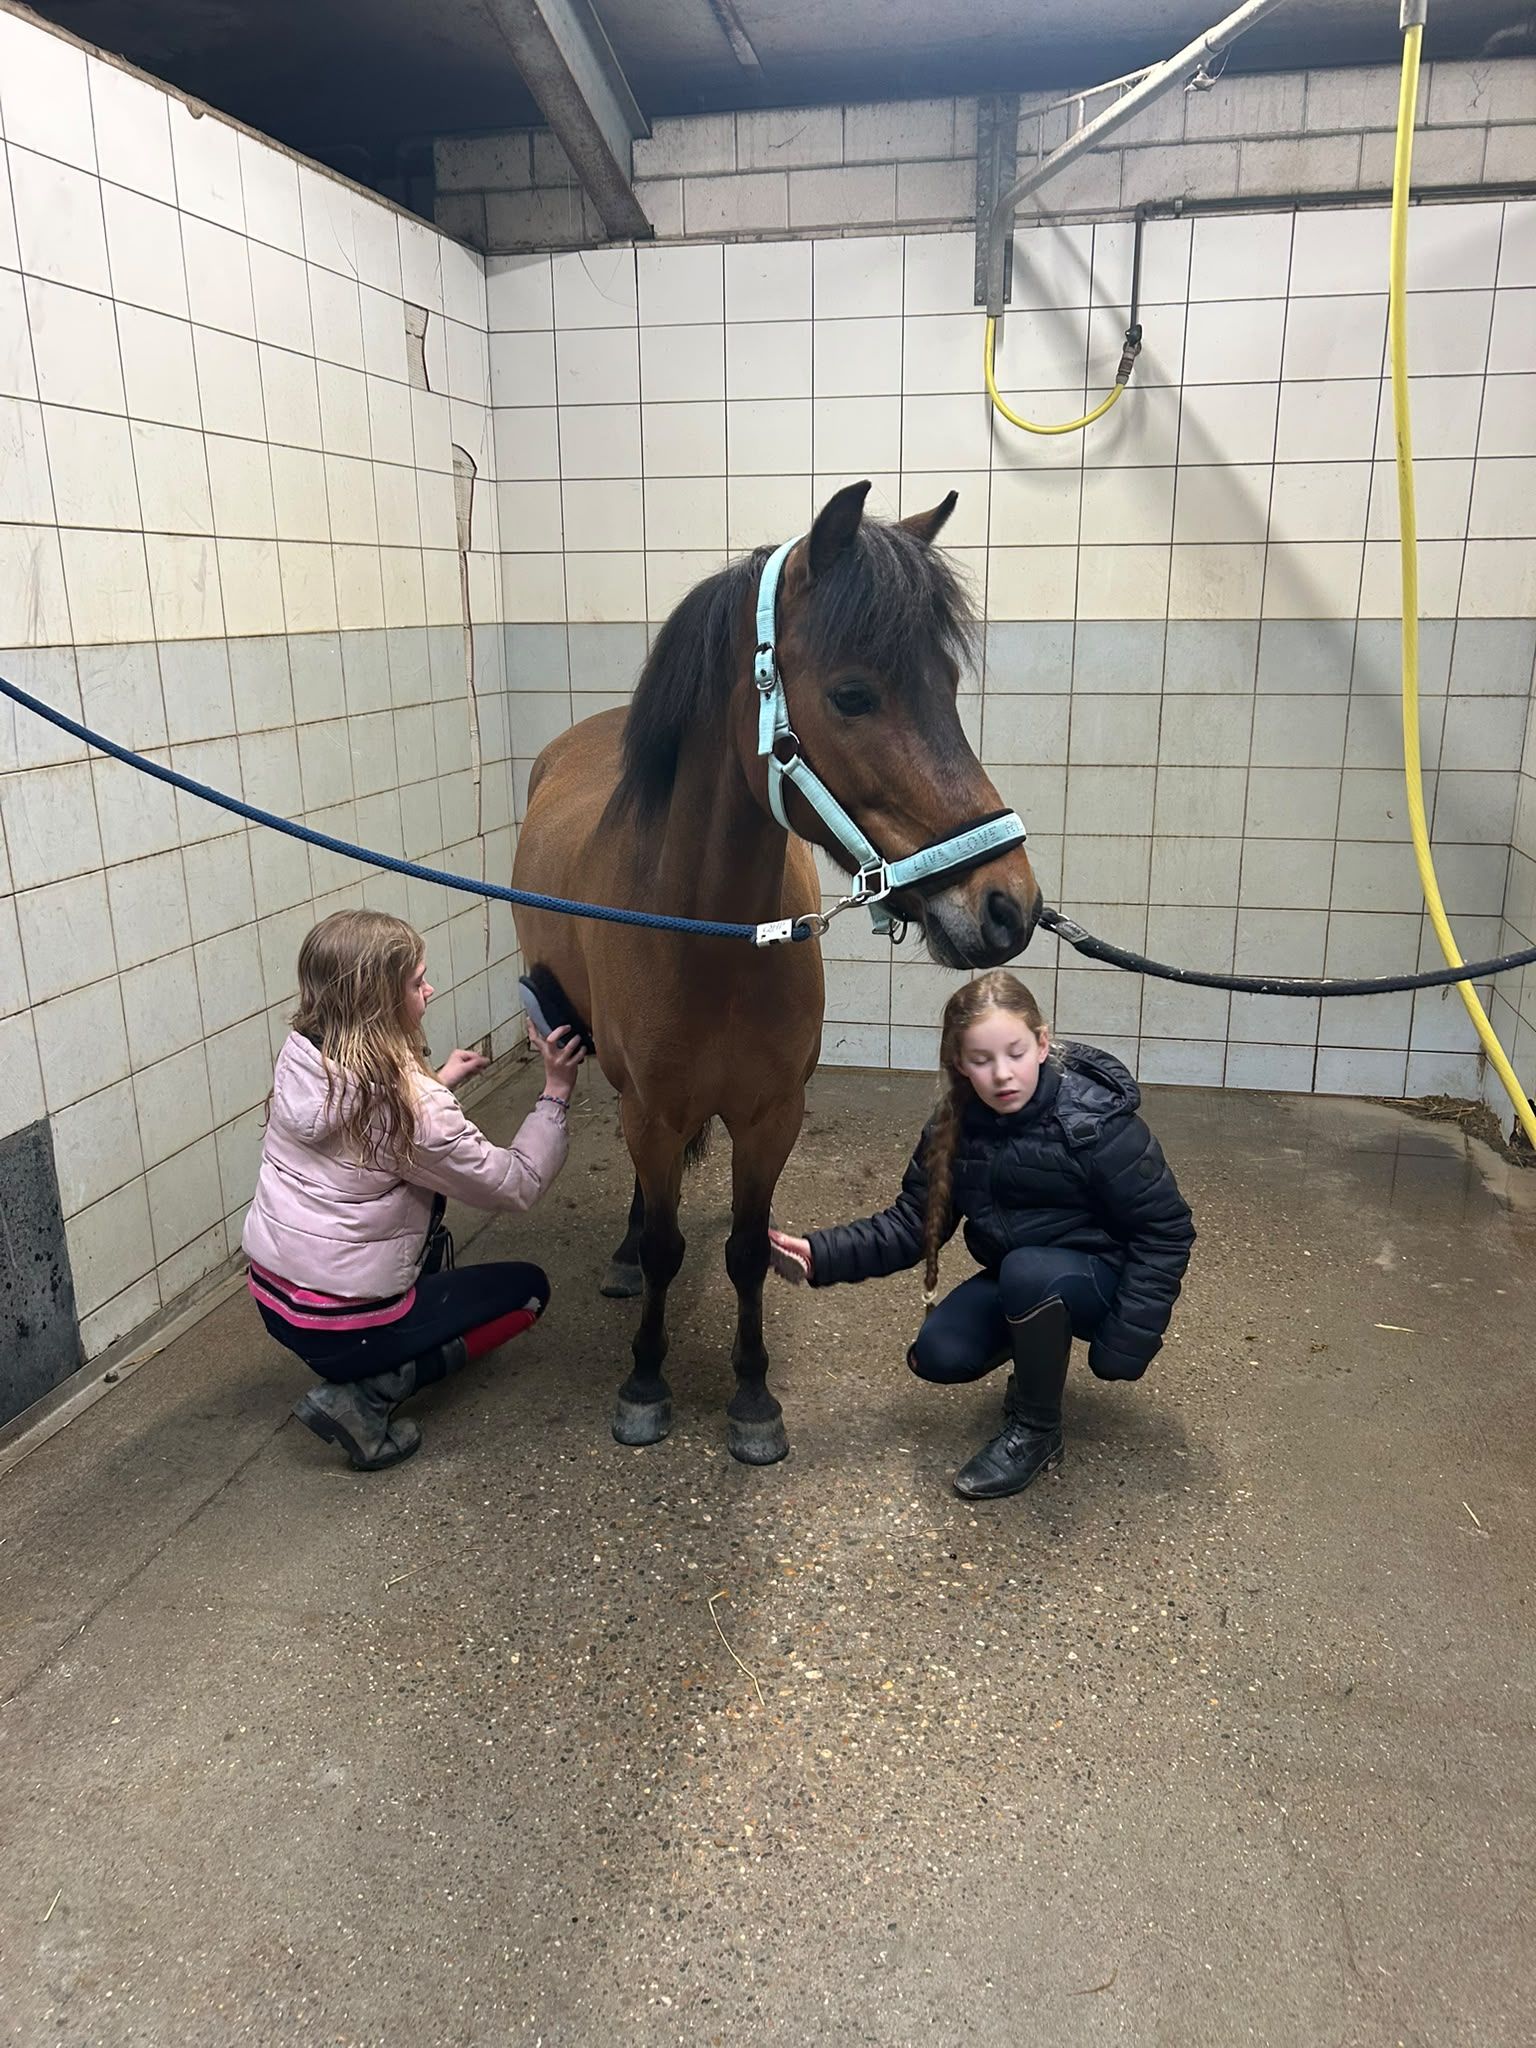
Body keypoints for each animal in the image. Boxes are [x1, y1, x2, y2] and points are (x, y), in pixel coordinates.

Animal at [510, 480, 1041, 1465]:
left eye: (947, 689)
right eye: (853, 694)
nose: (1007, 906)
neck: (708, 933)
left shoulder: (770, 1116)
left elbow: (750, 1251)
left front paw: (752, 1396)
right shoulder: (654, 1109)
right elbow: (672, 1247)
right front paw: (646, 1380)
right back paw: (626, 1255)